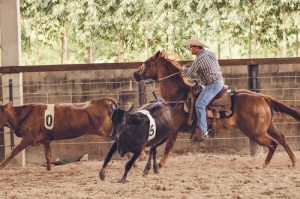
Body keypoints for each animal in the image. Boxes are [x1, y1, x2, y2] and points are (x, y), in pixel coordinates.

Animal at [134, 51, 300, 168]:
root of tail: (263, 97)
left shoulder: (173, 128)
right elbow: (153, 143)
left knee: (273, 143)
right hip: (268, 127)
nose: (135, 74)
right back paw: (292, 161)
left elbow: (168, 145)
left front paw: (160, 165)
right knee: (282, 139)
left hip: (255, 133)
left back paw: (264, 165)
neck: (179, 95)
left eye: (148, 62)